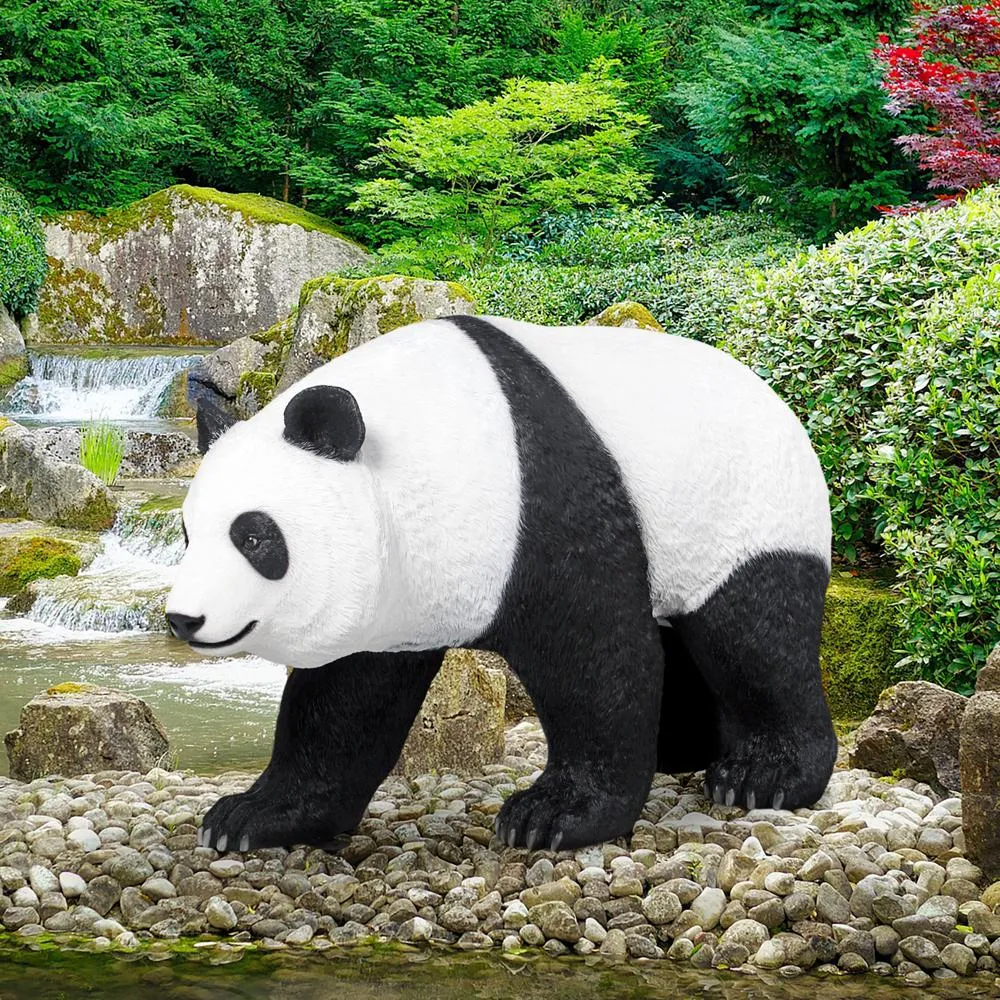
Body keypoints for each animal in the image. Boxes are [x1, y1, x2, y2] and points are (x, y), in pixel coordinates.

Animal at [166, 314, 837, 853]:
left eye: (255, 538)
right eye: (188, 534)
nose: (184, 618)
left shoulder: (542, 503)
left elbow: (598, 656)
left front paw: (554, 815)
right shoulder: (394, 587)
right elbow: (345, 699)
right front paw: (249, 817)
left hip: (748, 511)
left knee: (755, 633)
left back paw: (760, 777)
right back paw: (682, 752)